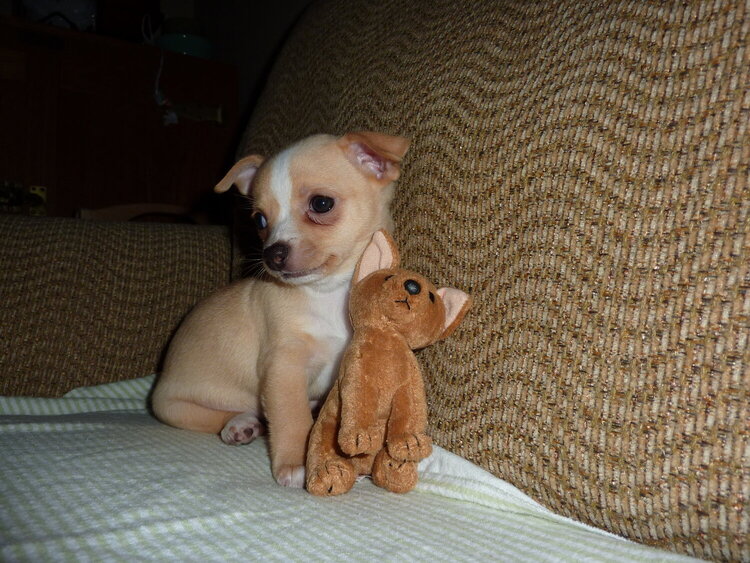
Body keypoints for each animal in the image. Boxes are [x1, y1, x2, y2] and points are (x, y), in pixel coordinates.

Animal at [153, 132, 412, 490]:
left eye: (321, 204)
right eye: (260, 220)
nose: (272, 254)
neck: (329, 293)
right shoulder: (284, 366)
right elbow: (291, 416)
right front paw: (296, 463)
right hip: (171, 406)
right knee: (216, 416)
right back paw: (239, 424)